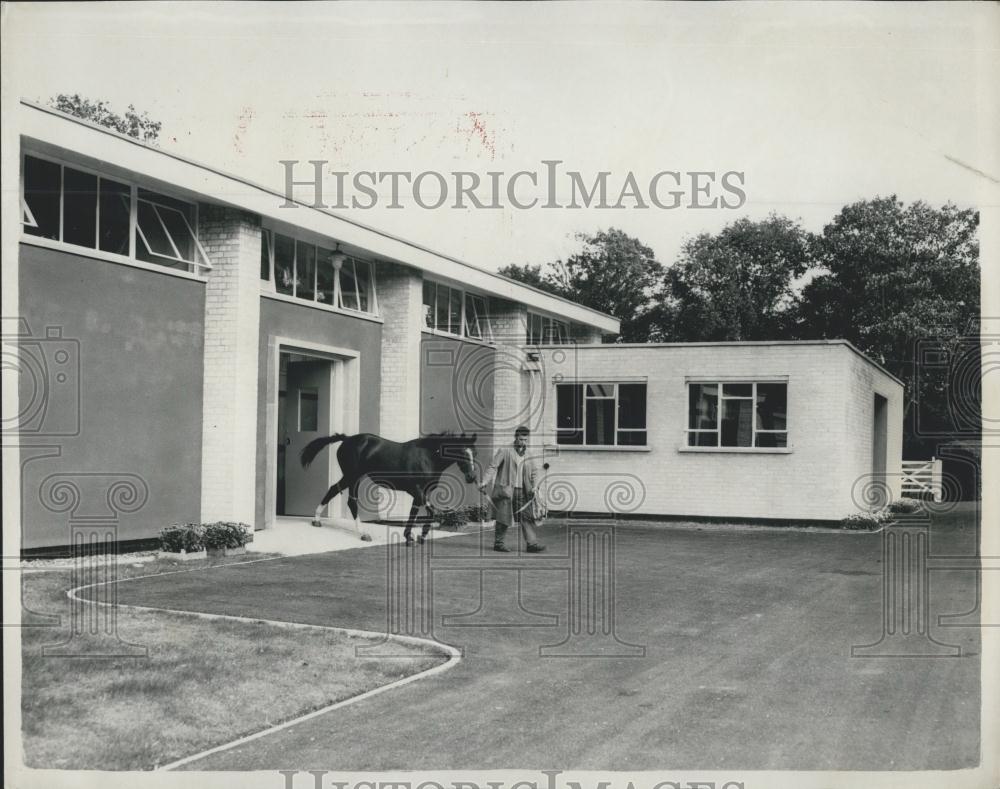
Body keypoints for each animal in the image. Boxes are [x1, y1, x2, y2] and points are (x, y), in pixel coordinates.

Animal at [298, 430, 478, 540]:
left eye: (474, 453)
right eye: (462, 452)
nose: (472, 477)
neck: (427, 457)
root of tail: (347, 439)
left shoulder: (420, 493)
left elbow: (414, 512)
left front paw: (409, 536)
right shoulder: (417, 490)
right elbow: (431, 511)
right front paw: (420, 536)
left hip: (350, 477)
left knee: (333, 489)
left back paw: (316, 520)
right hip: (354, 477)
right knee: (351, 501)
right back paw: (363, 534)